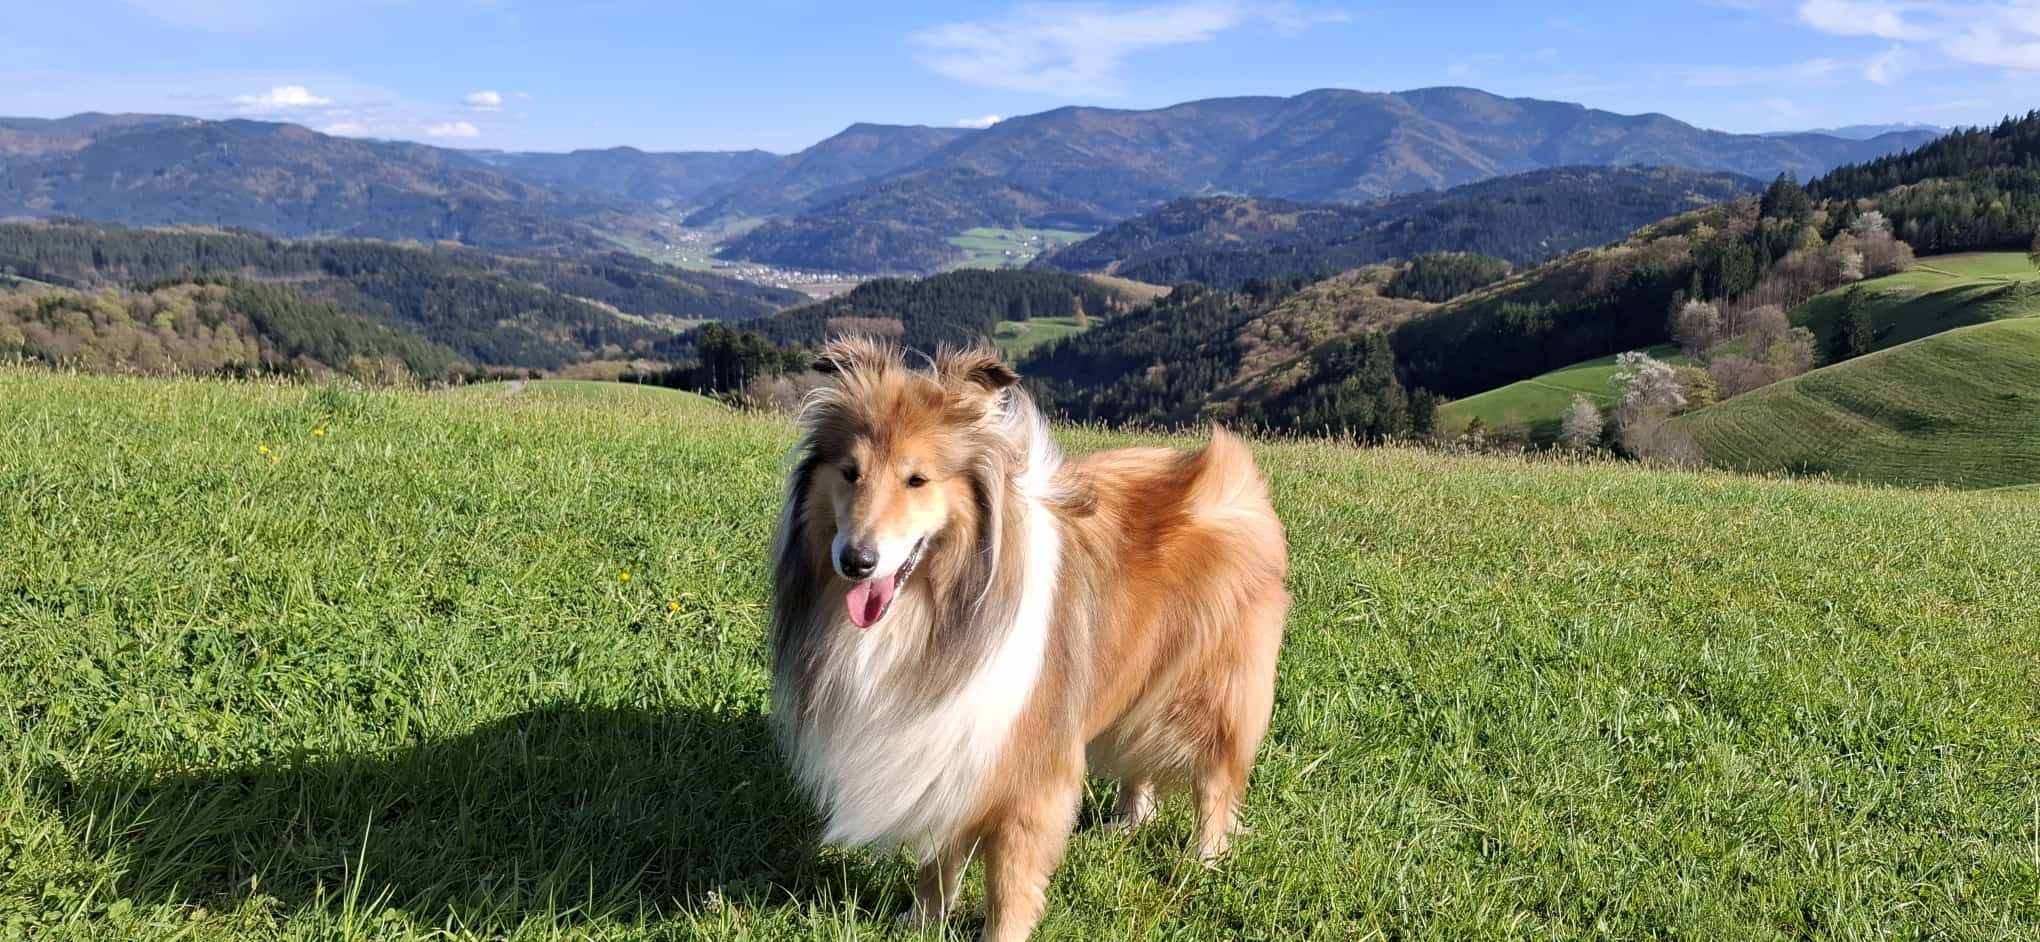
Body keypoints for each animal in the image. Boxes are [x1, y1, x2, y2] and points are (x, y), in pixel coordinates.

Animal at [766, 337, 1289, 941]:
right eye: (850, 472)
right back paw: (1126, 826)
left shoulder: (1027, 774)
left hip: (1208, 692)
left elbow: (1009, 884)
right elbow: (937, 860)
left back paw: (1203, 861)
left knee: (1217, 781)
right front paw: (921, 921)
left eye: (917, 479)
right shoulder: (947, 750)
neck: (932, 617)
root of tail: (1231, 469)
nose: (855, 561)